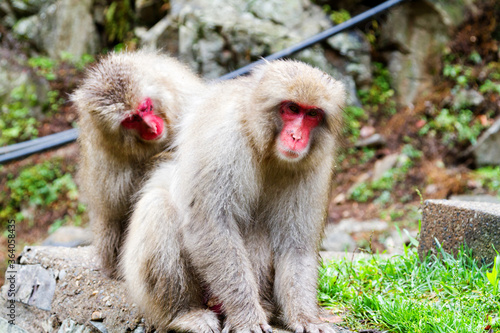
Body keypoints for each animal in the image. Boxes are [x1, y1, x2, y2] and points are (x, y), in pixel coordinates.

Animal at [72, 50, 205, 276]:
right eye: (132, 119)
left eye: (145, 107)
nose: (152, 127)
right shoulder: (102, 155)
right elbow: (120, 204)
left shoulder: (182, 94)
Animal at [120, 60, 346, 332]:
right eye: (292, 109)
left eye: (312, 114)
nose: (296, 137)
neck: (263, 145)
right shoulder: (225, 138)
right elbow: (210, 224)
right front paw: (246, 317)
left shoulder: (314, 166)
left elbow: (296, 244)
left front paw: (305, 317)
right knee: (158, 208)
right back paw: (185, 314)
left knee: (258, 228)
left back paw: (261, 306)